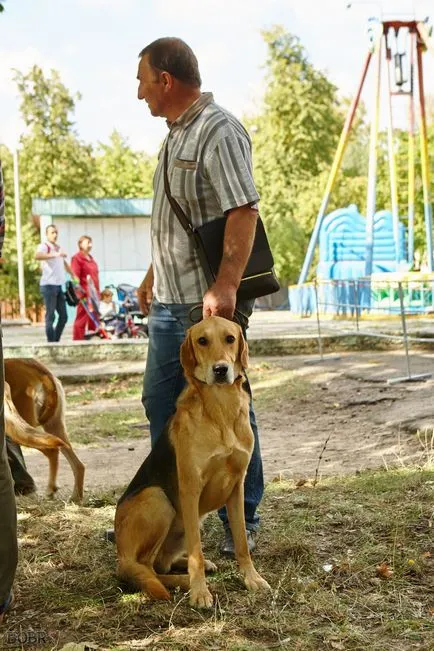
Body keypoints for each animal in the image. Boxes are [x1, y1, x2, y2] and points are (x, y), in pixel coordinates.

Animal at [4, 356, 85, 504]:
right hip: (54, 426)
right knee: (78, 464)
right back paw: (75, 497)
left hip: (18, 431)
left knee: (52, 451)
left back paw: (51, 489)